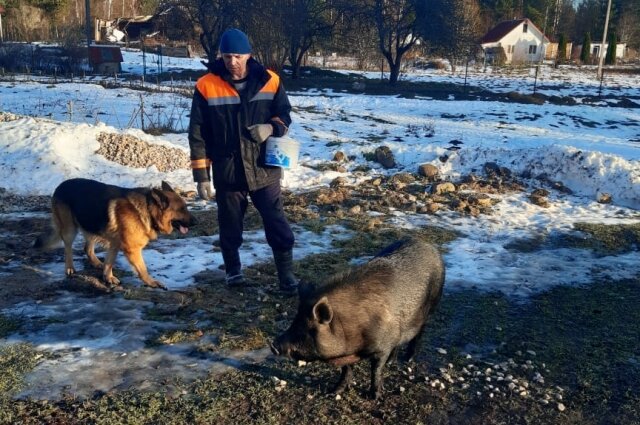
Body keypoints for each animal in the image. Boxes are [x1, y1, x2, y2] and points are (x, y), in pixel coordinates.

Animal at [34, 177, 195, 290]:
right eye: (181, 209)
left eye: (186, 207)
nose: (195, 222)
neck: (149, 211)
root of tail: (60, 186)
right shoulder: (132, 249)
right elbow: (142, 269)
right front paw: (151, 282)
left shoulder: (115, 244)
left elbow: (109, 262)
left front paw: (108, 277)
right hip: (70, 230)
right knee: (68, 249)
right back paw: (70, 268)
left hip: (93, 226)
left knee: (87, 248)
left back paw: (96, 263)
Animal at [270, 238, 444, 398]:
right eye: (294, 322)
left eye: (307, 330)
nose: (273, 345)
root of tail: (428, 245)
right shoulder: (346, 354)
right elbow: (346, 370)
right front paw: (333, 392)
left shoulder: (382, 347)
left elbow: (376, 370)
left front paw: (375, 397)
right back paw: (392, 362)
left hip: (430, 307)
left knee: (419, 334)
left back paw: (407, 359)